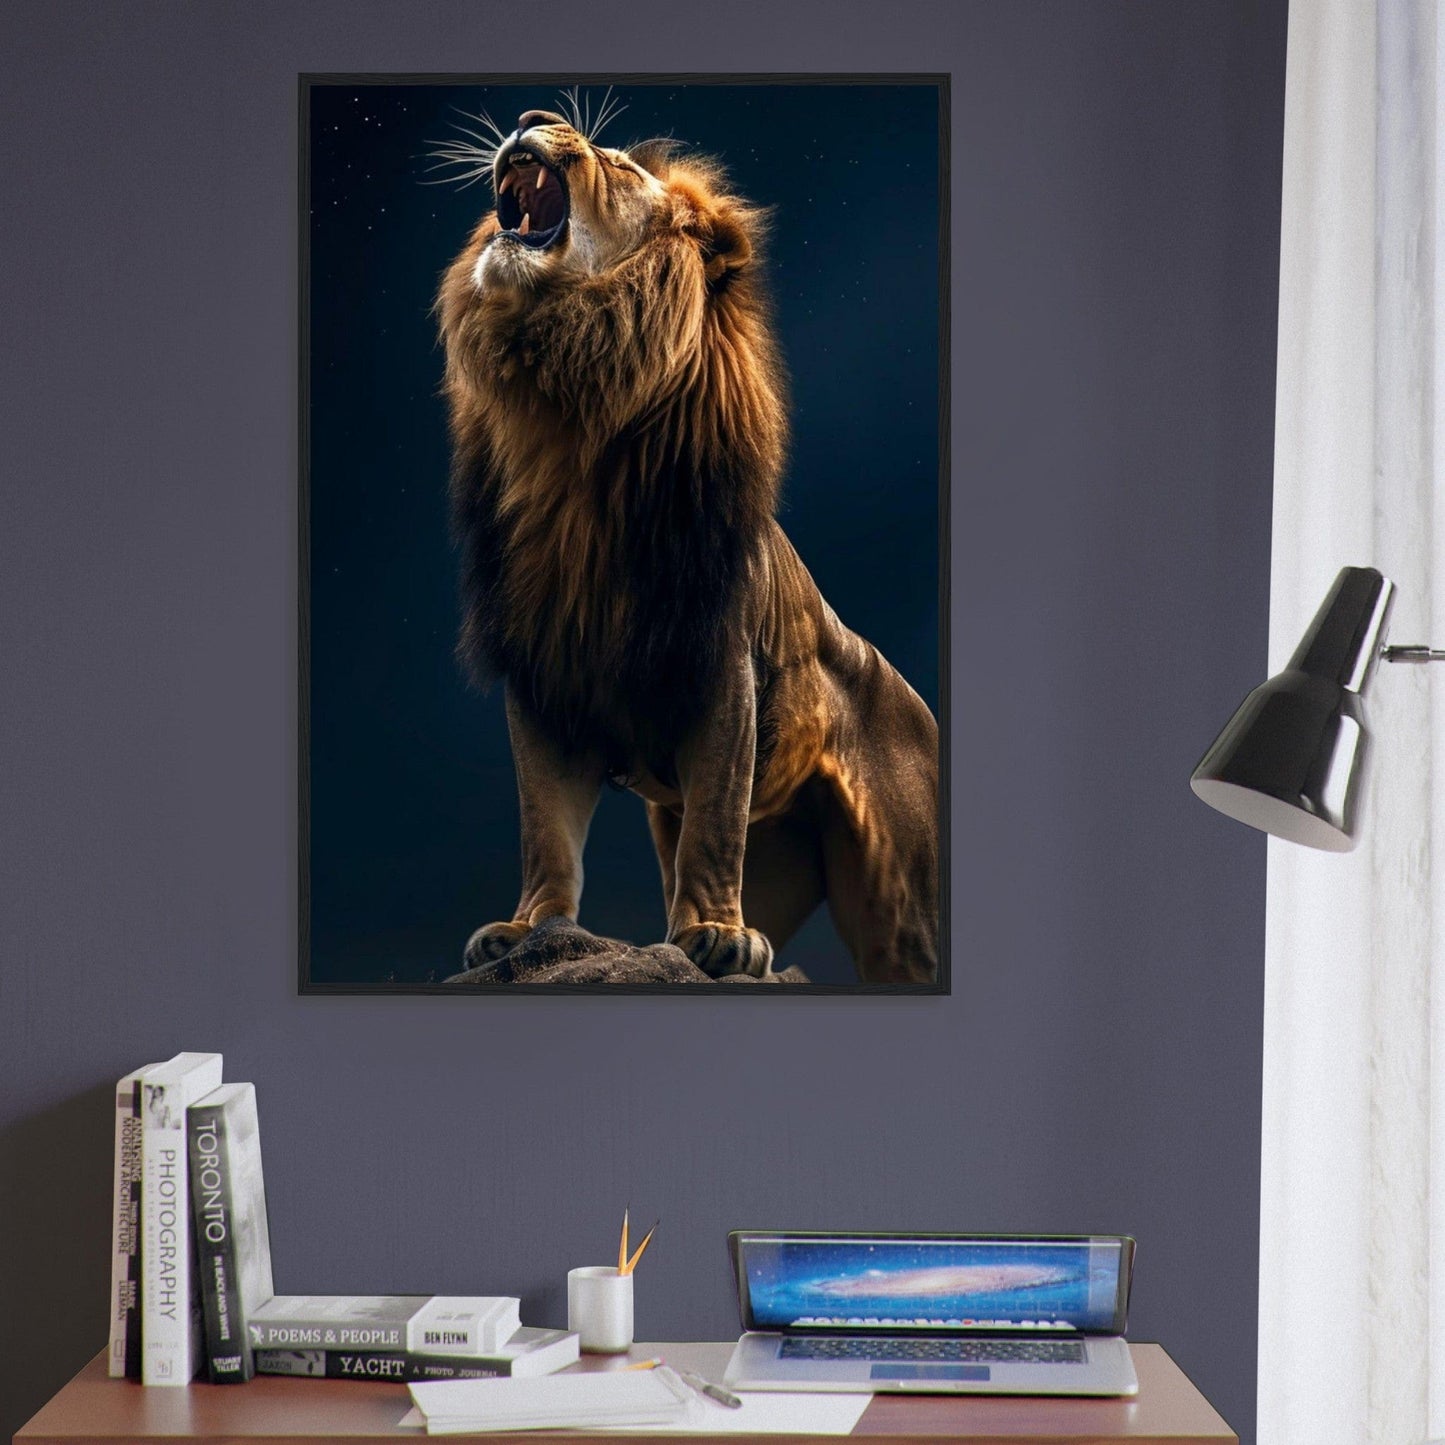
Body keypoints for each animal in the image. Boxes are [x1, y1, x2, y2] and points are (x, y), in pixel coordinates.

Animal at [435, 105, 939, 983]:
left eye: (615, 166)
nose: (533, 117)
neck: (564, 416)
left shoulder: (718, 665)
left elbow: (713, 817)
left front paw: (715, 934)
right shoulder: (542, 671)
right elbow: (545, 826)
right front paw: (528, 927)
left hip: (903, 910)